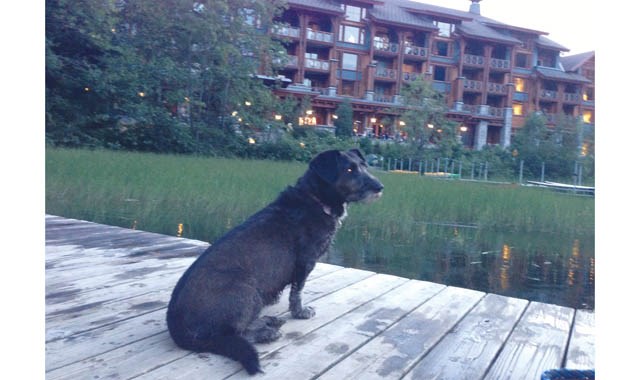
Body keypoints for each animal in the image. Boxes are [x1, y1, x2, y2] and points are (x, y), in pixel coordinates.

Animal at [168, 148, 382, 374]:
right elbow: (296, 293)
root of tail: (176, 325)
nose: (380, 187)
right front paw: (300, 312)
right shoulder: (305, 262)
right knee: (234, 332)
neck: (315, 199)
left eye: (364, 165)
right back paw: (266, 332)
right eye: (349, 169)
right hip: (248, 291)